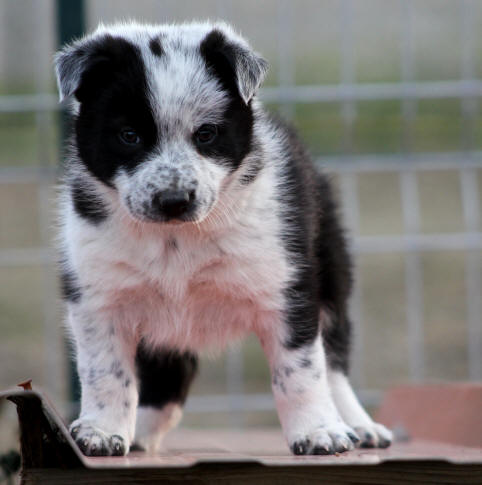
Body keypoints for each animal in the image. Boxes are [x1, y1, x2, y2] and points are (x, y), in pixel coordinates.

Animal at [54, 21, 392, 454]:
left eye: (206, 134)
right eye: (128, 135)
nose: (173, 200)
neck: (176, 237)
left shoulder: (287, 289)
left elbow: (300, 370)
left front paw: (319, 432)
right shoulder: (98, 296)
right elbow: (106, 371)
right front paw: (101, 431)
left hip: (332, 271)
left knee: (333, 363)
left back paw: (359, 426)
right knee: (166, 374)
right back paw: (142, 433)